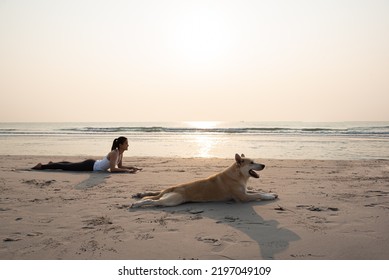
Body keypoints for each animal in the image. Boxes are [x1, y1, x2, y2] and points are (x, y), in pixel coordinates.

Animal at [132, 153, 278, 208]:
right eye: (252, 163)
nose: (264, 165)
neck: (238, 176)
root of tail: (173, 188)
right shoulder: (243, 197)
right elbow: (257, 194)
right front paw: (269, 196)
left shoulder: (245, 191)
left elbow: (257, 190)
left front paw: (271, 193)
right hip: (173, 200)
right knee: (153, 201)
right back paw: (137, 204)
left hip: (167, 195)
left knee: (153, 196)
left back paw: (140, 196)